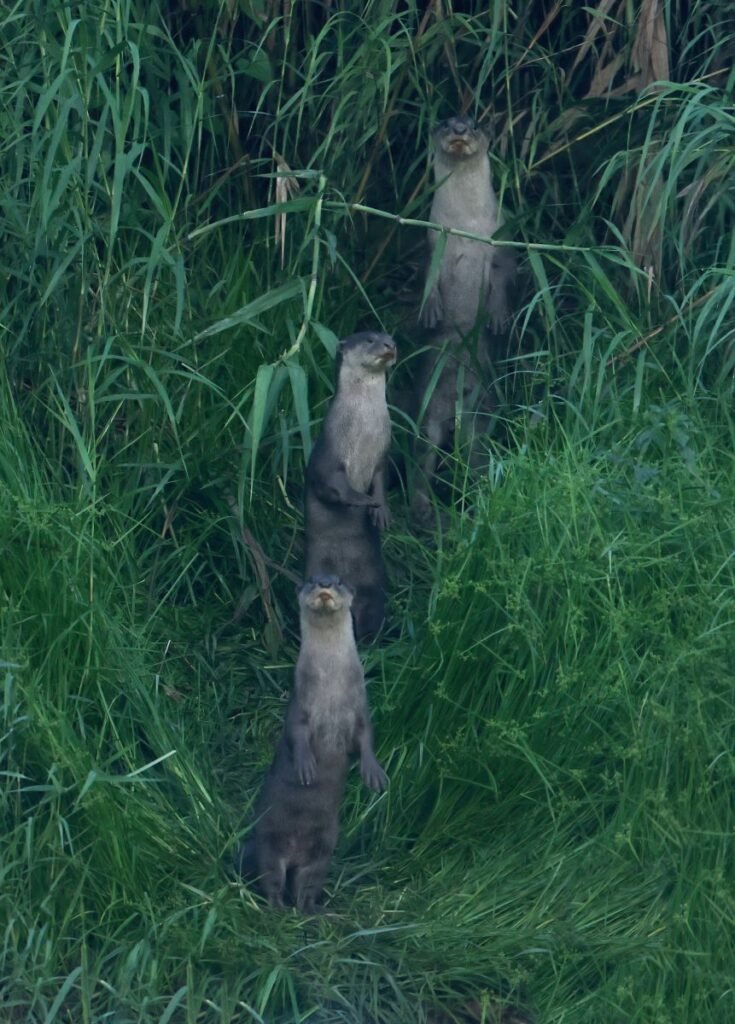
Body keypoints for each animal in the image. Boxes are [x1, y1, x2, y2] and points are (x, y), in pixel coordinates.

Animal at [236, 577, 388, 913]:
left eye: (340, 581)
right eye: (310, 580)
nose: (325, 582)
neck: (331, 684)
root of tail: (295, 851)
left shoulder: (359, 706)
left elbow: (366, 738)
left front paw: (374, 773)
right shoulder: (300, 702)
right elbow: (296, 734)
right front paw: (306, 766)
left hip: (324, 848)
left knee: (307, 883)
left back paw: (311, 911)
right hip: (268, 838)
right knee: (271, 876)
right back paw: (277, 908)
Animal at [304, 330, 397, 639]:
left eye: (389, 336)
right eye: (369, 339)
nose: (390, 345)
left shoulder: (382, 455)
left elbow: (381, 479)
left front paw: (381, 510)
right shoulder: (327, 457)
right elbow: (332, 485)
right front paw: (363, 500)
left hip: (374, 589)